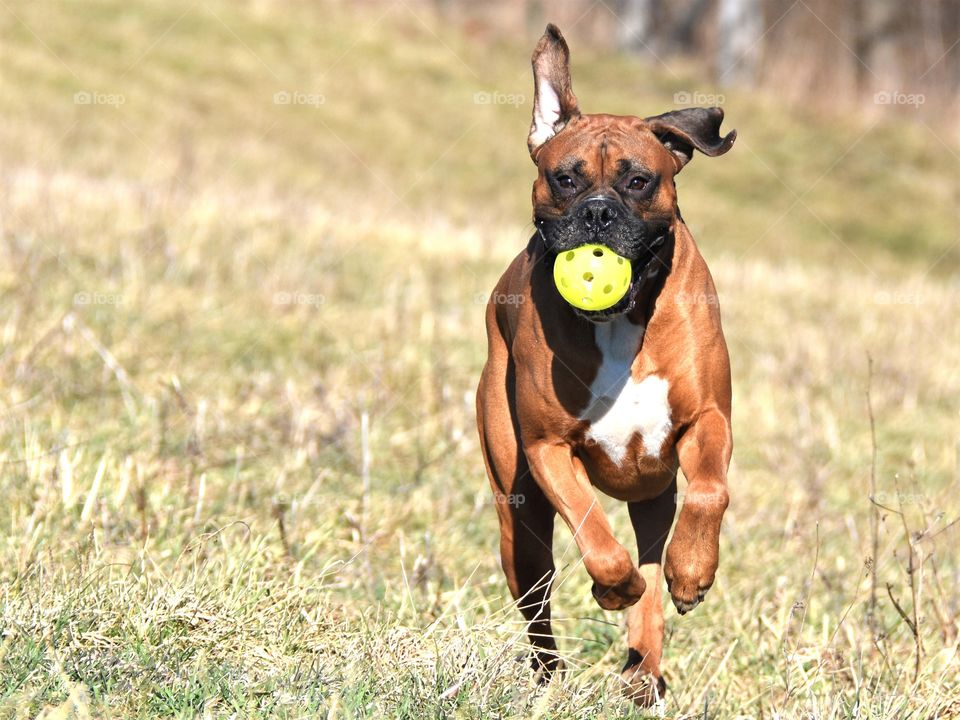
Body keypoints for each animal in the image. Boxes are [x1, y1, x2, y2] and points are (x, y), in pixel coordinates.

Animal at [478, 25, 736, 704]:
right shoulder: (548, 449)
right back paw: (552, 677)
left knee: (653, 568)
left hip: (653, 497)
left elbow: (711, 491)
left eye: (640, 181)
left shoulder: (708, 420)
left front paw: (693, 572)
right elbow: (594, 531)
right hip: (520, 525)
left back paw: (643, 669)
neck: (622, 323)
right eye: (564, 179)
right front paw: (612, 586)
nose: (597, 211)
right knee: (540, 606)